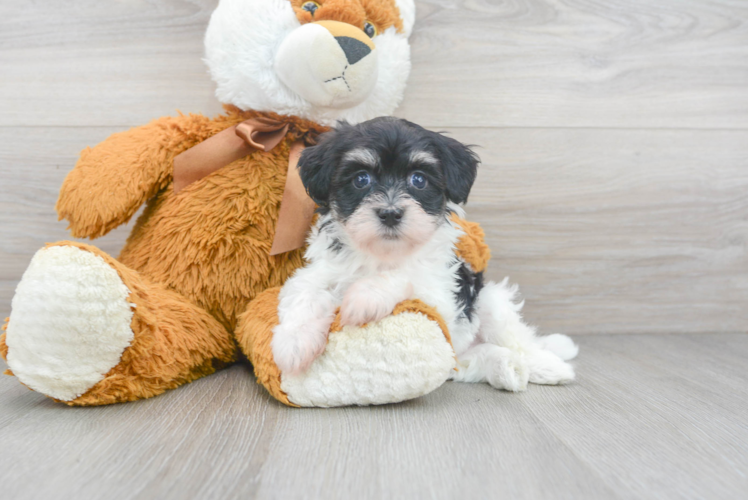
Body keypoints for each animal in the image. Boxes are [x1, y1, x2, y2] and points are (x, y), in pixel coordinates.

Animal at [270, 118, 580, 390]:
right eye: (361, 179)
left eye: (418, 180)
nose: (390, 213)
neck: (383, 254)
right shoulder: (318, 271)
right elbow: (304, 294)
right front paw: (294, 343)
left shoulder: (441, 296)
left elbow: (405, 277)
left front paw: (365, 297)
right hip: (458, 355)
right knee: (473, 360)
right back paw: (507, 368)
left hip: (490, 302)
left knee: (519, 340)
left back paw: (548, 366)